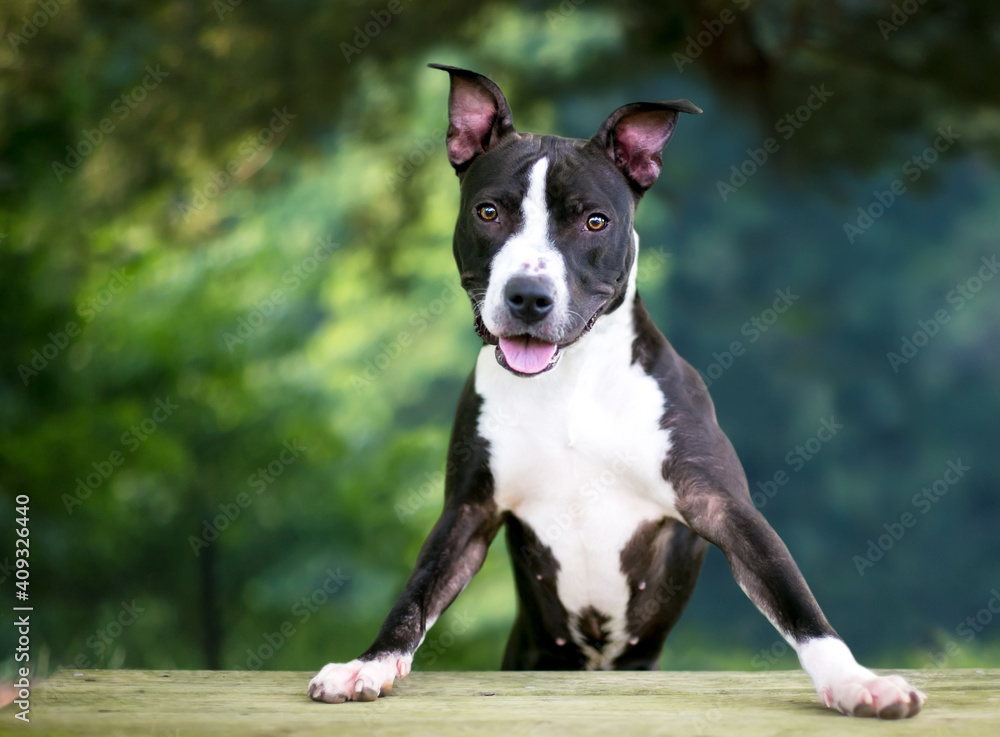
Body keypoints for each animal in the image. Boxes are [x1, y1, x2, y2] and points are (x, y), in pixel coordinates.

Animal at [306, 64, 928, 720]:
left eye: (594, 221)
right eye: (488, 211)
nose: (529, 296)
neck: (569, 380)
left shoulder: (721, 505)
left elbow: (794, 600)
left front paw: (858, 681)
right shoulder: (468, 514)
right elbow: (417, 594)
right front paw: (369, 665)